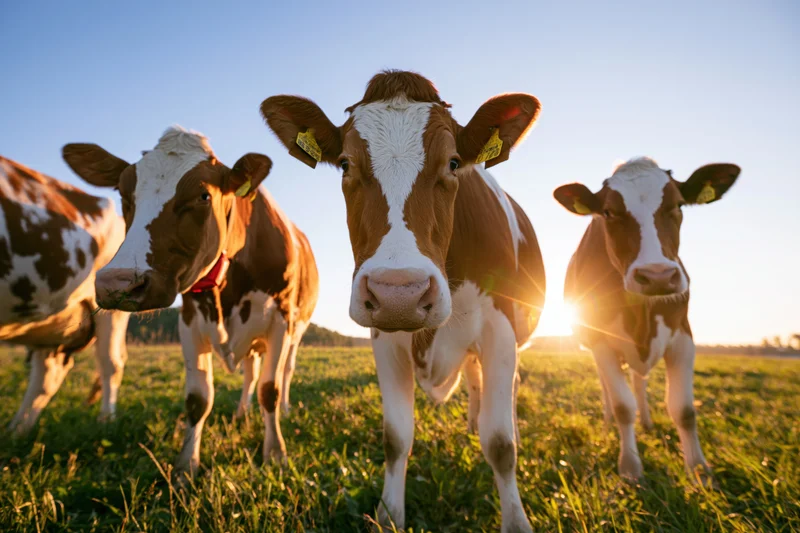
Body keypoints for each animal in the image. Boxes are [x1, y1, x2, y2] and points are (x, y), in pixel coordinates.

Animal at [62, 126, 319, 478]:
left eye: (203, 196)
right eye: (124, 195)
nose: (117, 282)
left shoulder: (280, 320)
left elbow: (271, 390)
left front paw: (276, 454)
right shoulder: (189, 321)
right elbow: (199, 399)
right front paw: (187, 466)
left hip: (297, 331)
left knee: (285, 372)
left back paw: (287, 409)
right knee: (250, 373)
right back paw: (241, 413)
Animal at [262, 70, 546, 533]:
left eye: (453, 163)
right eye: (345, 164)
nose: (400, 294)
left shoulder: (500, 332)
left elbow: (501, 443)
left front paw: (516, 520)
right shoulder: (385, 337)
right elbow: (396, 437)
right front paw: (389, 513)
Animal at [553, 157, 740, 483]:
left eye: (678, 205)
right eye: (609, 212)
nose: (657, 276)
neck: (639, 311)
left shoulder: (682, 336)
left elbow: (684, 409)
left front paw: (699, 471)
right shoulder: (601, 343)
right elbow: (622, 406)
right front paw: (630, 466)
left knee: (639, 381)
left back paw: (648, 422)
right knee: (609, 390)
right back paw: (607, 423)